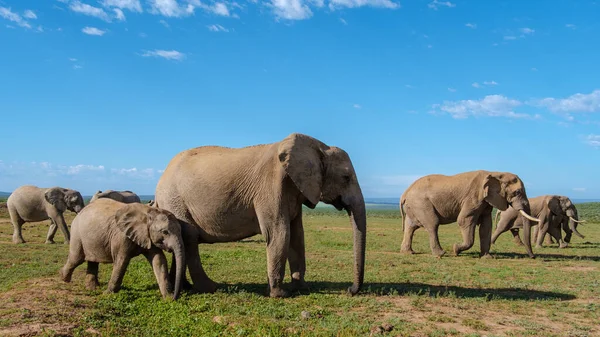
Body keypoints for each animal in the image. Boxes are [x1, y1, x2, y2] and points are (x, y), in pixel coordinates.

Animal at [155, 131, 366, 296]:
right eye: (346, 178)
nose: (350, 290)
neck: (318, 146)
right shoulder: (270, 186)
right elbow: (280, 233)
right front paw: (280, 294)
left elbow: (297, 235)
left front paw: (301, 288)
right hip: (174, 198)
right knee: (190, 237)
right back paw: (209, 288)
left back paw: (185, 287)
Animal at [400, 169, 540, 258]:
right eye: (517, 192)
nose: (533, 257)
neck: (496, 173)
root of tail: (404, 193)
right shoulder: (474, 197)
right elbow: (464, 220)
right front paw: (456, 249)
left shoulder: (486, 201)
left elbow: (486, 226)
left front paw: (487, 257)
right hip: (421, 204)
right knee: (433, 224)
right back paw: (441, 254)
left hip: (414, 206)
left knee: (410, 226)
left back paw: (408, 253)